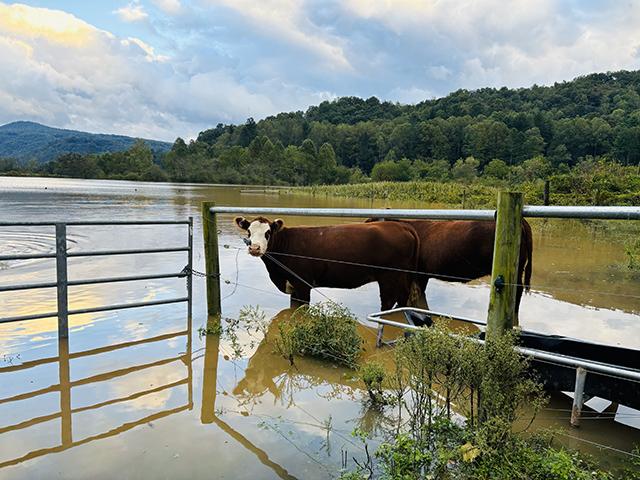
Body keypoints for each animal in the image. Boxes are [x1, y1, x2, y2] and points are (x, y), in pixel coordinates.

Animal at [234, 216, 421, 310]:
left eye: (268, 233)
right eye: (249, 231)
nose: (255, 248)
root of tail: (403, 226)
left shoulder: (302, 285)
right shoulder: (293, 287)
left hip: (389, 278)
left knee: (388, 302)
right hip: (403, 277)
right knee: (403, 298)